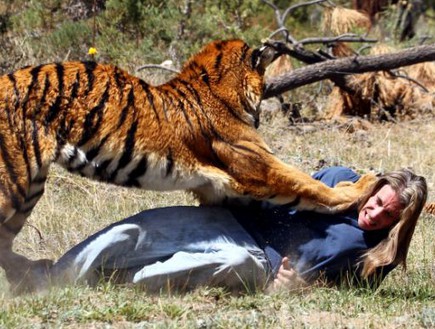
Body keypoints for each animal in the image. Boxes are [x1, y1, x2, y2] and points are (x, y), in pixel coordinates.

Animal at [0, 39, 376, 292]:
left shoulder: (218, 187)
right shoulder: (257, 167)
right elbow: (308, 185)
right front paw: (361, 186)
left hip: (29, 188)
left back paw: (30, 273)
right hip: (14, 184)